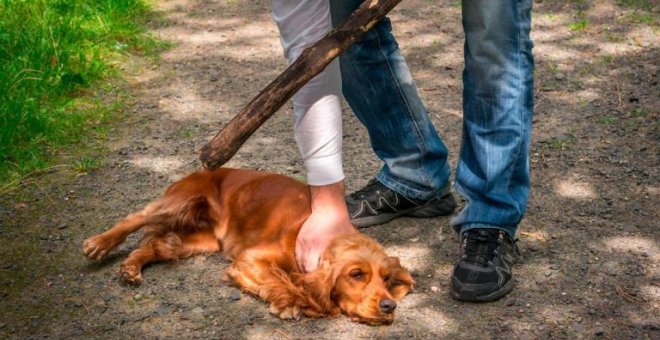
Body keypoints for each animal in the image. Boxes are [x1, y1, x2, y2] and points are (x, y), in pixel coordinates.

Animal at [81, 167, 412, 324]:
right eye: (356, 275)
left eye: (386, 279)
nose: (389, 306)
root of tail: (204, 169)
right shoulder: (249, 259)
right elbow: (281, 280)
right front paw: (292, 302)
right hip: (180, 201)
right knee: (137, 217)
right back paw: (99, 243)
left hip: (200, 240)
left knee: (158, 245)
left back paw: (130, 268)